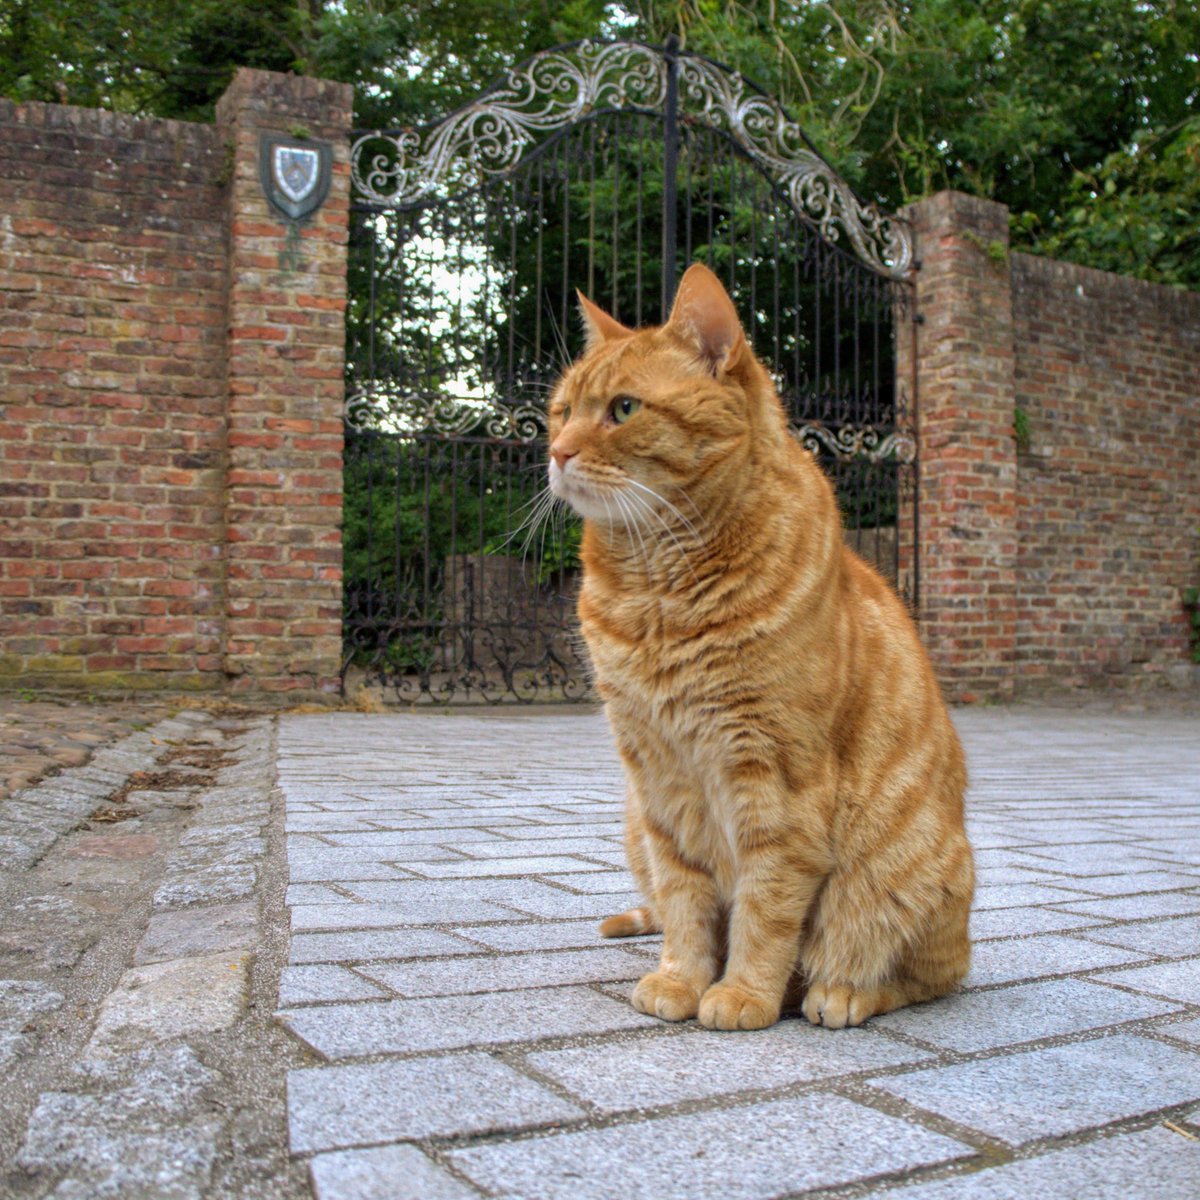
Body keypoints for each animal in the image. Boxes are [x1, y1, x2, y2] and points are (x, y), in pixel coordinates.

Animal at [547, 265, 974, 1032]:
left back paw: (839, 993)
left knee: (927, 973)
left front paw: (744, 992)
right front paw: (683, 980)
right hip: (631, 819)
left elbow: (766, 903)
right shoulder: (658, 777)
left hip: (910, 872)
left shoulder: (773, 772)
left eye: (623, 409)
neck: (657, 590)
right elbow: (685, 900)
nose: (557, 452)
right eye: (561, 410)